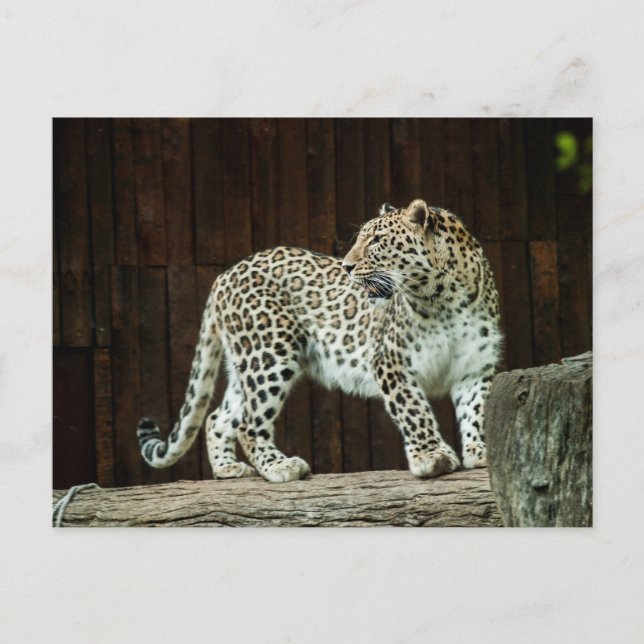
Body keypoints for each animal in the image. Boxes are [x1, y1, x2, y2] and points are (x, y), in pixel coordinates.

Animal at [137, 198, 502, 483]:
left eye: (377, 240)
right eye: (361, 239)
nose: (347, 266)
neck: (444, 299)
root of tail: (224, 275)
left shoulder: (475, 365)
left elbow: (477, 410)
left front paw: (480, 451)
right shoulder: (391, 362)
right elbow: (414, 411)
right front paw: (432, 457)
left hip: (248, 361)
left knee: (220, 417)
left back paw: (228, 468)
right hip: (269, 355)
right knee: (250, 423)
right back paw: (279, 467)